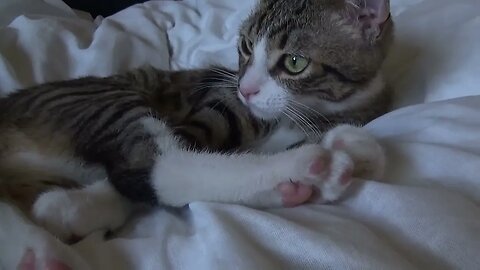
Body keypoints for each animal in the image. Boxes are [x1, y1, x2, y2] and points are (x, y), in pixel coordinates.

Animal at [0, 0, 392, 268]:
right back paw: (301, 171)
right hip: (109, 102)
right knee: (162, 166)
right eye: (246, 47)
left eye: (295, 62)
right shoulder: (205, 113)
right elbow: (133, 179)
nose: (245, 89)